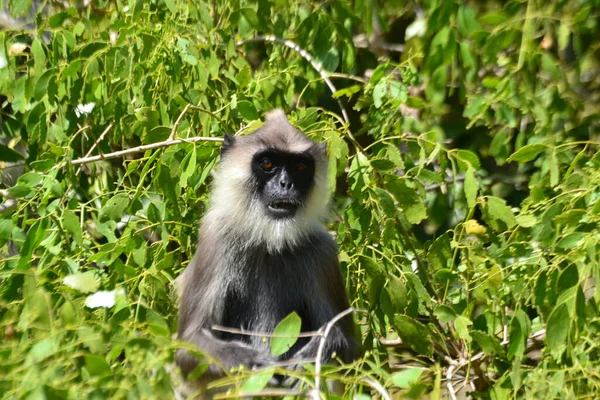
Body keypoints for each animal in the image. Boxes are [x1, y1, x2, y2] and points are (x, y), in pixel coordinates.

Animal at [176, 108, 358, 392]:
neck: (269, 240)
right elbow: (187, 348)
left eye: (300, 167)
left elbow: (349, 347)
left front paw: (313, 356)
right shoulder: (215, 240)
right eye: (268, 164)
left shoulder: (323, 252)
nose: (285, 184)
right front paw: (251, 363)